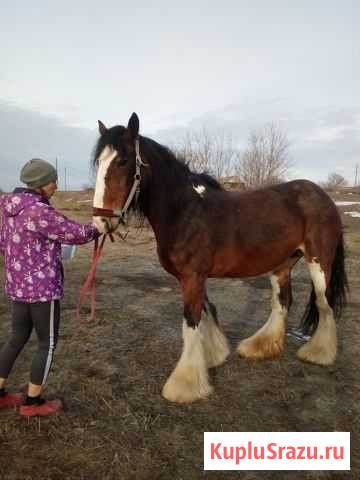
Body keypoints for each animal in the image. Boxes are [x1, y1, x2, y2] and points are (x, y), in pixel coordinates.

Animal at [91, 111, 348, 402]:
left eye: (122, 161)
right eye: (99, 162)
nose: (100, 221)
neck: (184, 212)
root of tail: (322, 196)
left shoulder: (193, 276)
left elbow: (191, 321)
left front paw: (185, 385)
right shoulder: (192, 277)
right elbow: (206, 310)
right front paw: (213, 356)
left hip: (319, 263)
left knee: (324, 304)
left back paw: (318, 354)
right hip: (282, 264)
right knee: (282, 303)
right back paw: (261, 346)